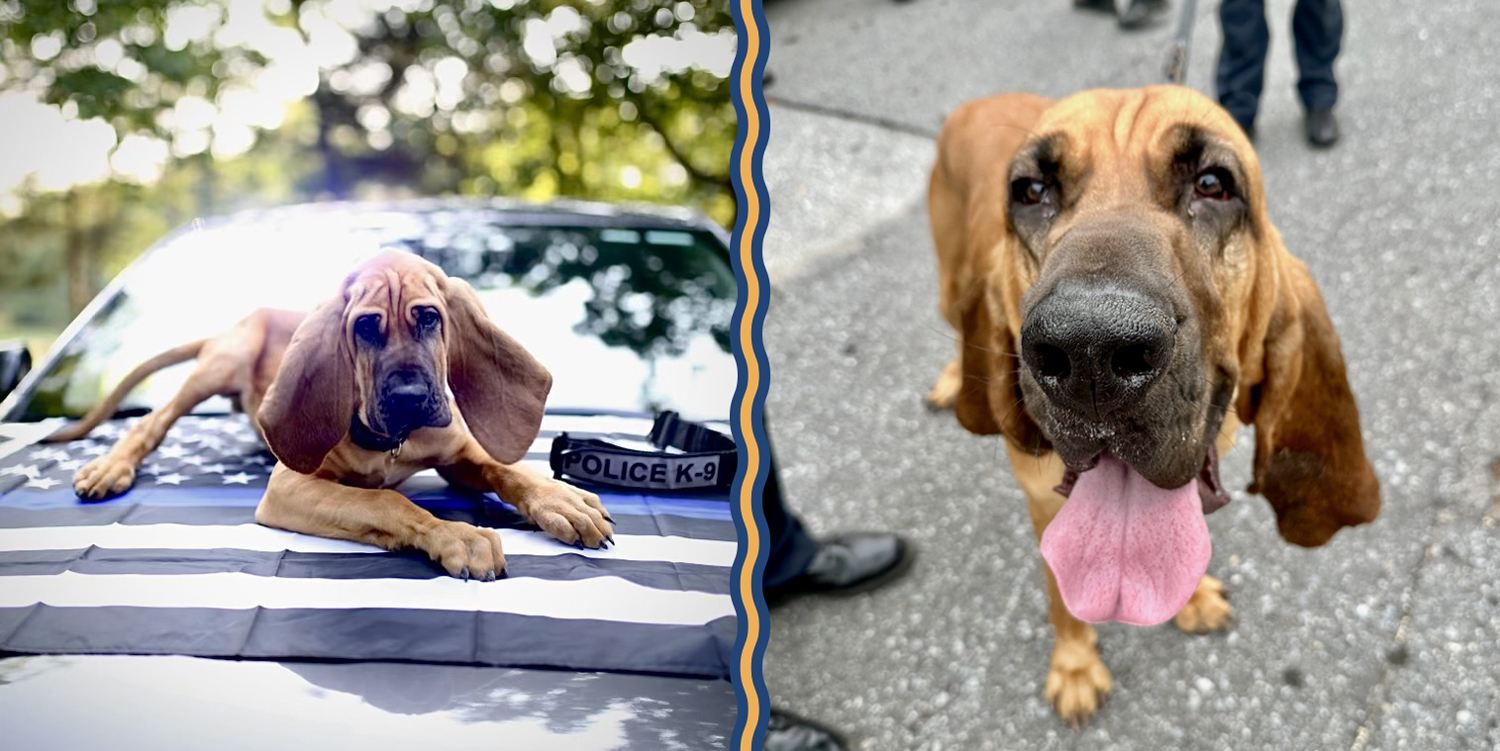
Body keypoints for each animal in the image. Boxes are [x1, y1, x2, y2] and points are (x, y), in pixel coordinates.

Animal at [48, 248, 609, 575]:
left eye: (430, 318)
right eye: (364, 327)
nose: (408, 397)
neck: (392, 443)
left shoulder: (460, 452)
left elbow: (506, 469)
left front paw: (560, 500)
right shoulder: (289, 487)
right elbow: (388, 503)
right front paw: (457, 534)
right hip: (221, 361)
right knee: (151, 421)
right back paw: (110, 467)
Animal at [924, 86, 1380, 719]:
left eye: (1213, 184)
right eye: (1032, 192)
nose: (1088, 352)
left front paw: (1191, 601)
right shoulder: (1043, 504)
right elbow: (1061, 596)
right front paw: (1074, 665)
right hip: (948, 283)